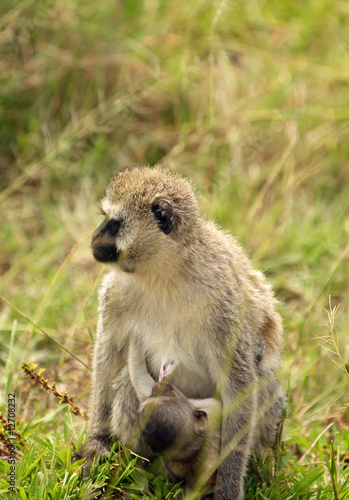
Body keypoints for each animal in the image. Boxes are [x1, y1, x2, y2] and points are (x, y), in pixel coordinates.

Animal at [83, 168, 284, 500]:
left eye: (114, 223)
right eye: (105, 218)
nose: (94, 237)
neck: (165, 271)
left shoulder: (224, 304)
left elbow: (239, 387)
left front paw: (228, 489)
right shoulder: (116, 291)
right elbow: (109, 354)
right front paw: (97, 441)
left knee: (264, 380)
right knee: (126, 382)